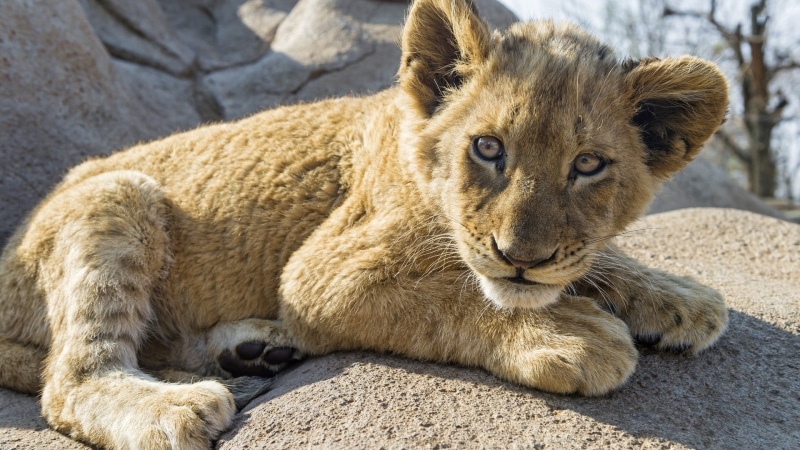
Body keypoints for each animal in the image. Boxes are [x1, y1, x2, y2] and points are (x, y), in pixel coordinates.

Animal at [0, 0, 729, 448]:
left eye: (587, 164)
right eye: (488, 148)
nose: (521, 256)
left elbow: (598, 259)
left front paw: (680, 297)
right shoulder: (320, 275)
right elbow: (454, 295)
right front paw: (571, 334)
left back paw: (254, 349)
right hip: (117, 195)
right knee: (68, 381)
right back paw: (179, 403)